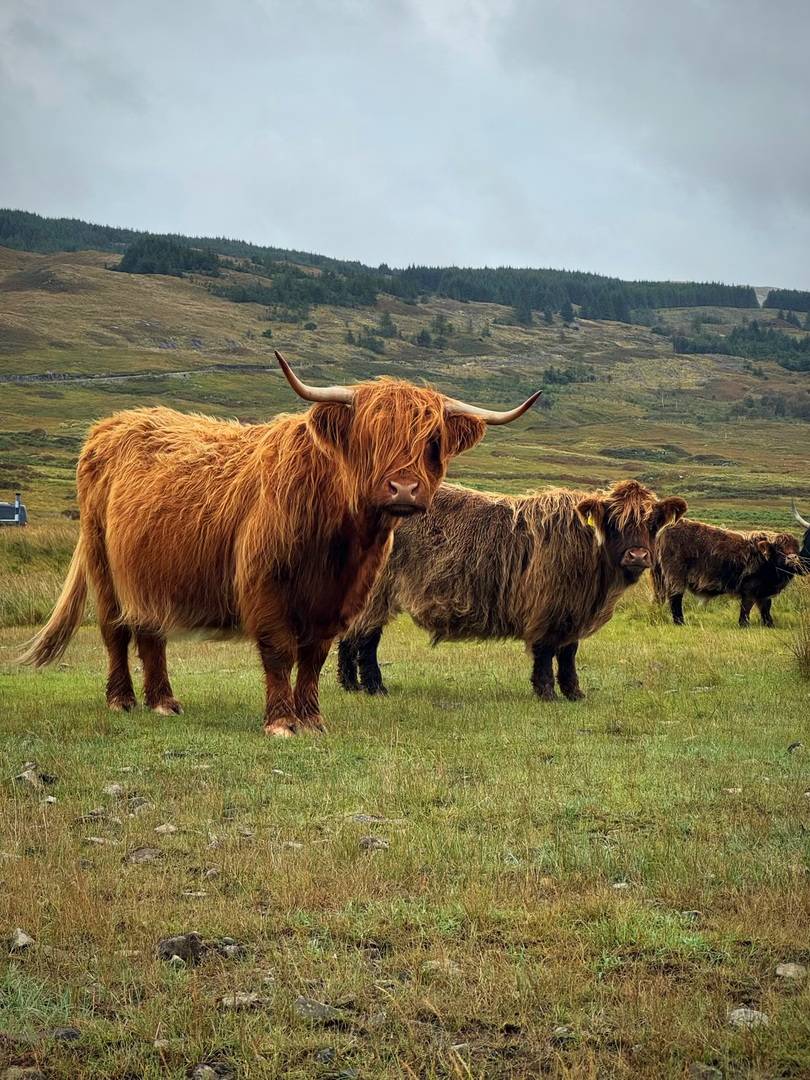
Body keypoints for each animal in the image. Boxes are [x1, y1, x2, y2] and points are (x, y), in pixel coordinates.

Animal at [20, 352, 540, 736]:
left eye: (433, 440)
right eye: (369, 436)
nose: (405, 489)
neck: (339, 541)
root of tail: (107, 426)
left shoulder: (338, 598)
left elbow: (314, 656)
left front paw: (311, 720)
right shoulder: (264, 584)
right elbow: (278, 652)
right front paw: (279, 722)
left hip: (151, 571)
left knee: (151, 632)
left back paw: (164, 701)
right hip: (103, 563)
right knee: (115, 630)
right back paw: (122, 700)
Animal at [337, 479, 686, 702]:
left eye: (652, 522)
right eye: (615, 521)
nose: (638, 556)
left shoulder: (572, 612)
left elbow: (568, 653)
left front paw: (574, 692)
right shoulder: (548, 607)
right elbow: (546, 652)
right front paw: (547, 692)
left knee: (349, 637)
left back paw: (350, 685)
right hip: (378, 593)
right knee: (366, 639)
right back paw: (374, 687)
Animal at [652, 518, 804, 628]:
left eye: (796, 548)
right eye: (779, 548)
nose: (792, 558)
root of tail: (665, 529)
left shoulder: (763, 592)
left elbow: (766, 608)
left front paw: (769, 624)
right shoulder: (750, 588)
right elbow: (747, 606)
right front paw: (744, 624)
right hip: (675, 575)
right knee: (675, 598)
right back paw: (680, 622)